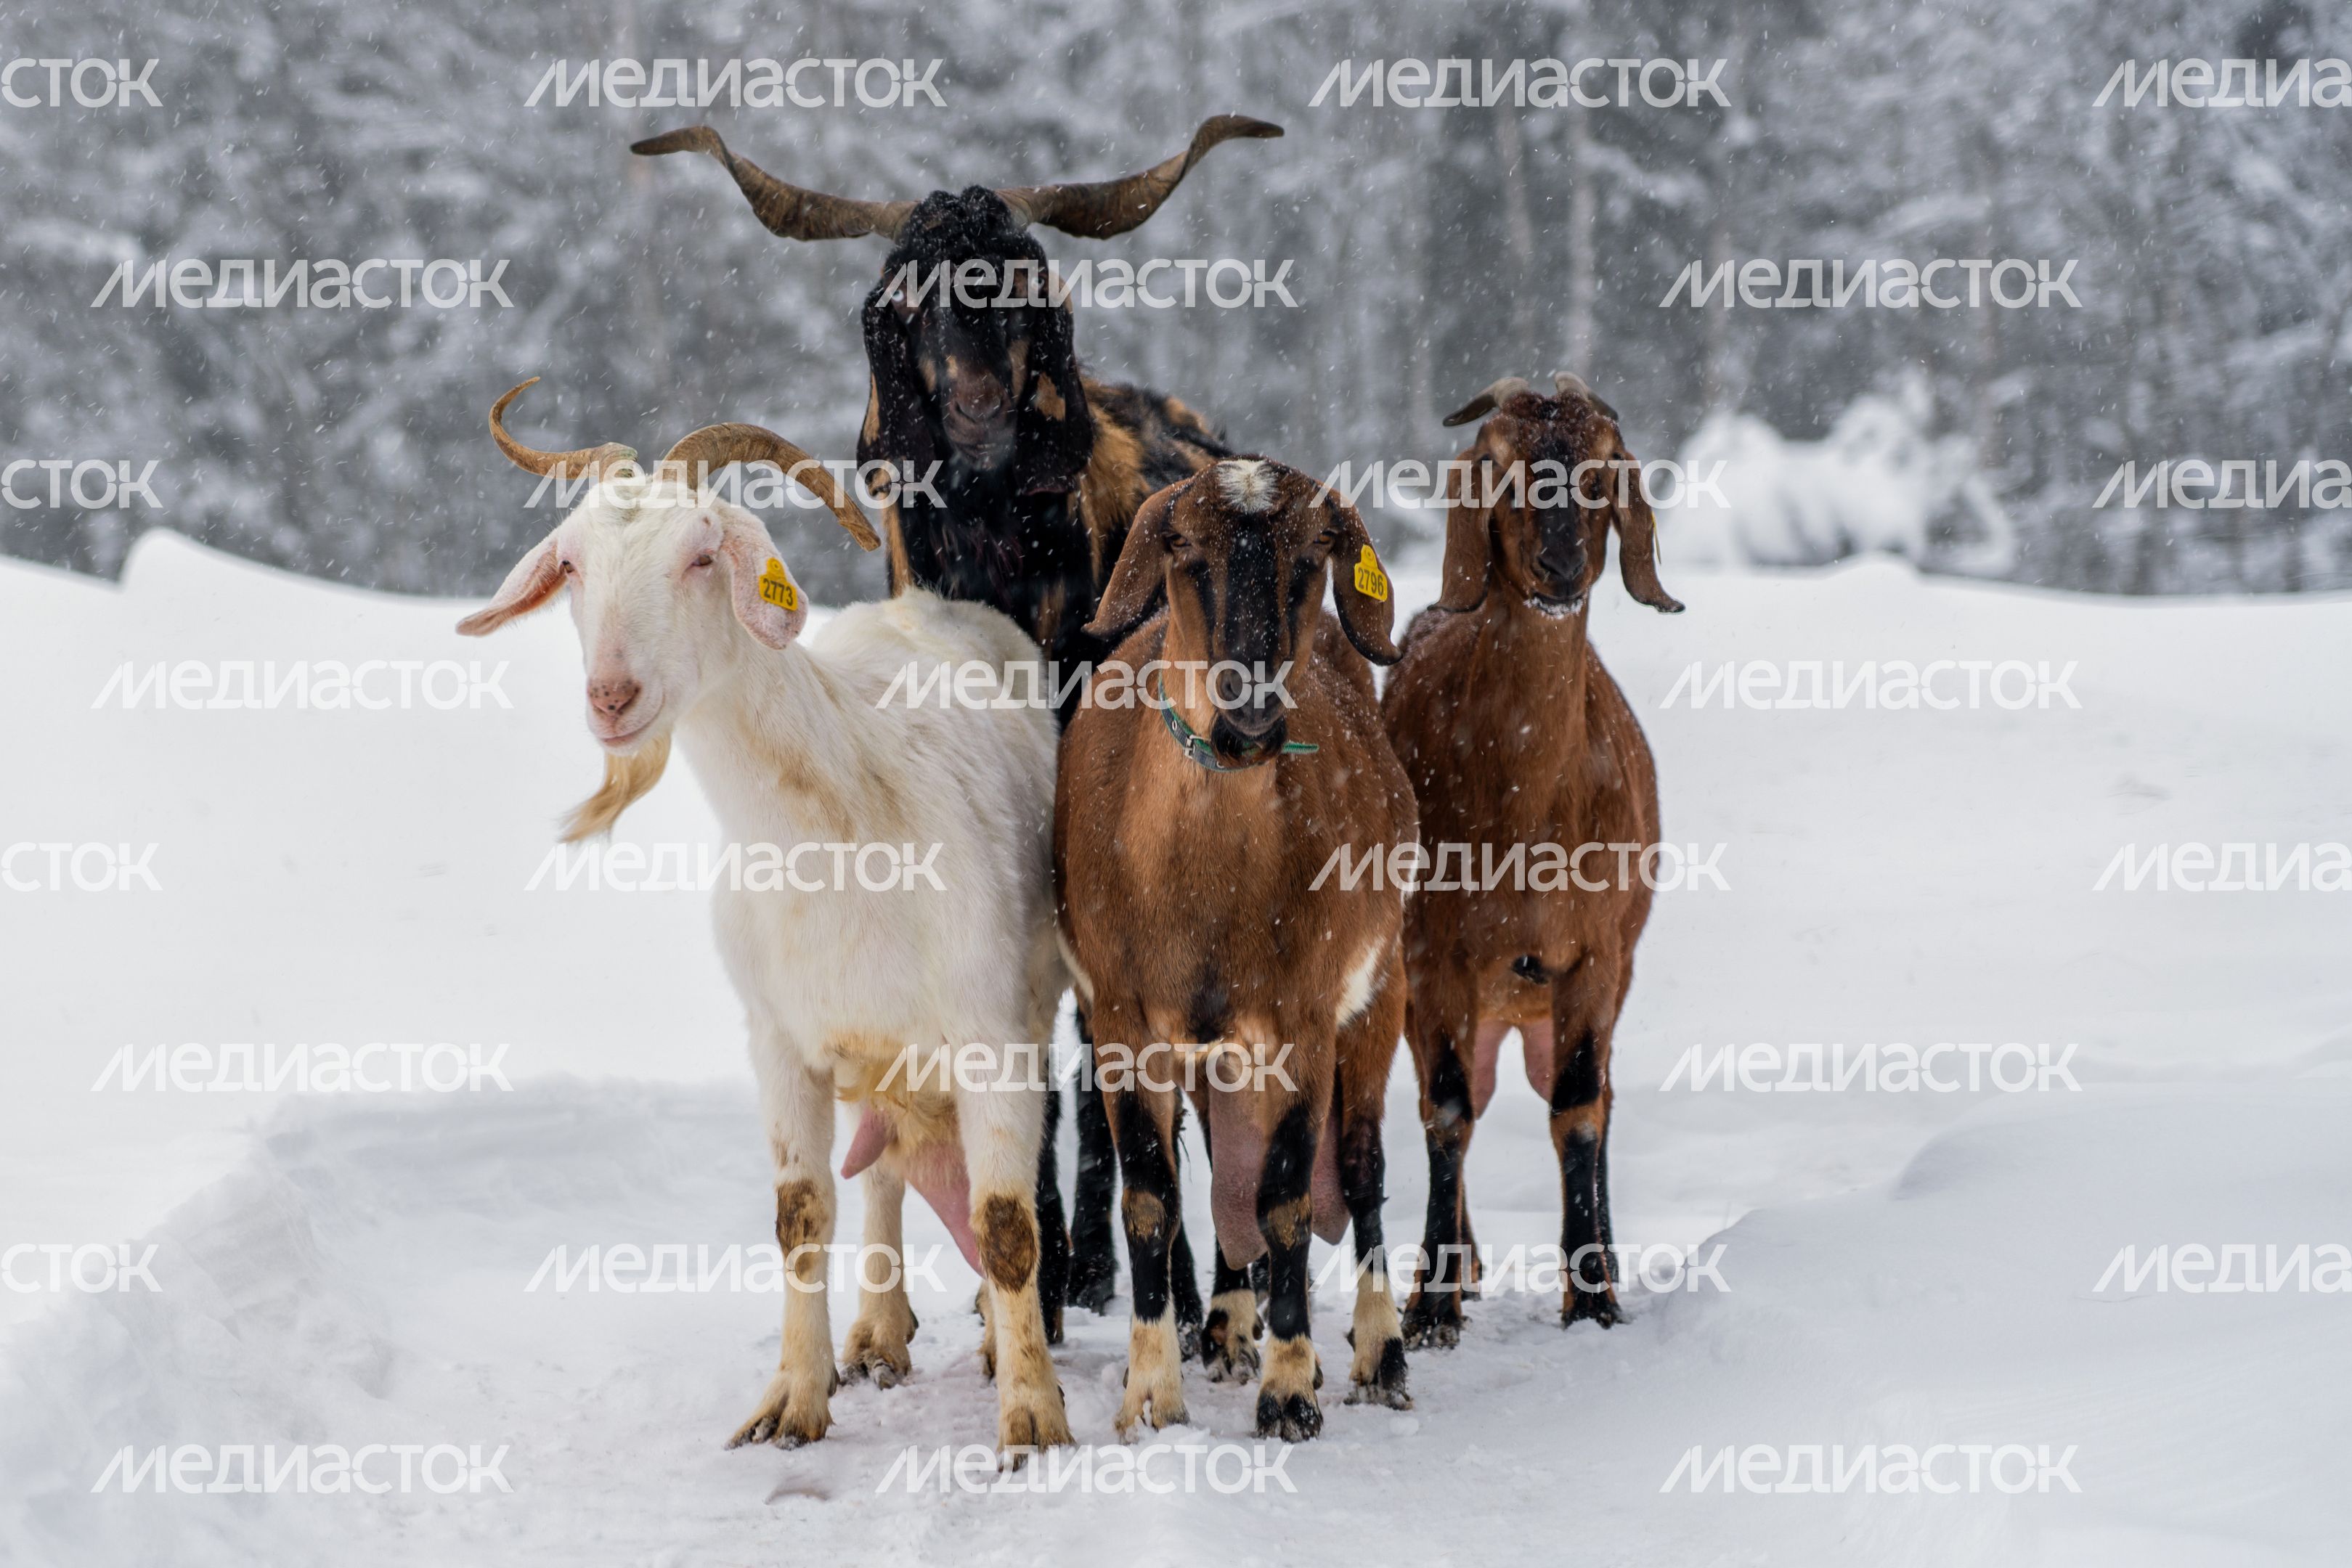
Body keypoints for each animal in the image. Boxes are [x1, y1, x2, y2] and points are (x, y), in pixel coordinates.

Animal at [458, 380, 1071, 1454]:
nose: (611, 695)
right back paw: (877, 1331)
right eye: (570, 565)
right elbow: (800, 1216)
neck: (843, 819)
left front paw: (1032, 1415)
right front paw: (793, 1399)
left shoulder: (990, 1033)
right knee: (881, 1172)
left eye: (704, 553)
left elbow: (1005, 1222)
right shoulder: (781, 1042)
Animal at [1056, 457, 1418, 1440]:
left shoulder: (1303, 1019)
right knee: (1224, 1169)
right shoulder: (1124, 1020)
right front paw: (1151, 1393)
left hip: (1380, 991)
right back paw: (1223, 1325)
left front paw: (1291, 1389)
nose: (1248, 717)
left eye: (1314, 550)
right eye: (1181, 546)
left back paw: (1378, 1351)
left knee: (1359, 1167)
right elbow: (1151, 1195)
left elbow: (1288, 1198)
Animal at [1378, 373, 1683, 1344]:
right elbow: (1445, 1109)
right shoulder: (1432, 956)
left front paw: (1591, 1298)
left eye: (1599, 469)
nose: (1559, 569)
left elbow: (1578, 1109)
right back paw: (1463, 1269)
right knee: (1460, 1091)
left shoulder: (1595, 954)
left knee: (1595, 1097)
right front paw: (1430, 1304)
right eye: (1503, 467)